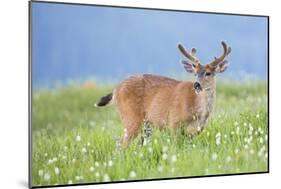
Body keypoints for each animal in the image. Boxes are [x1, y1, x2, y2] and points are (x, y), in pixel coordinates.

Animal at [95, 40, 231, 145]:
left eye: (208, 73)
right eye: (195, 73)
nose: (196, 84)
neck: (199, 112)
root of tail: (115, 90)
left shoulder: (196, 131)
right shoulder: (174, 122)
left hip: (146, 125)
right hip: (131, 117)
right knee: (121, 145)